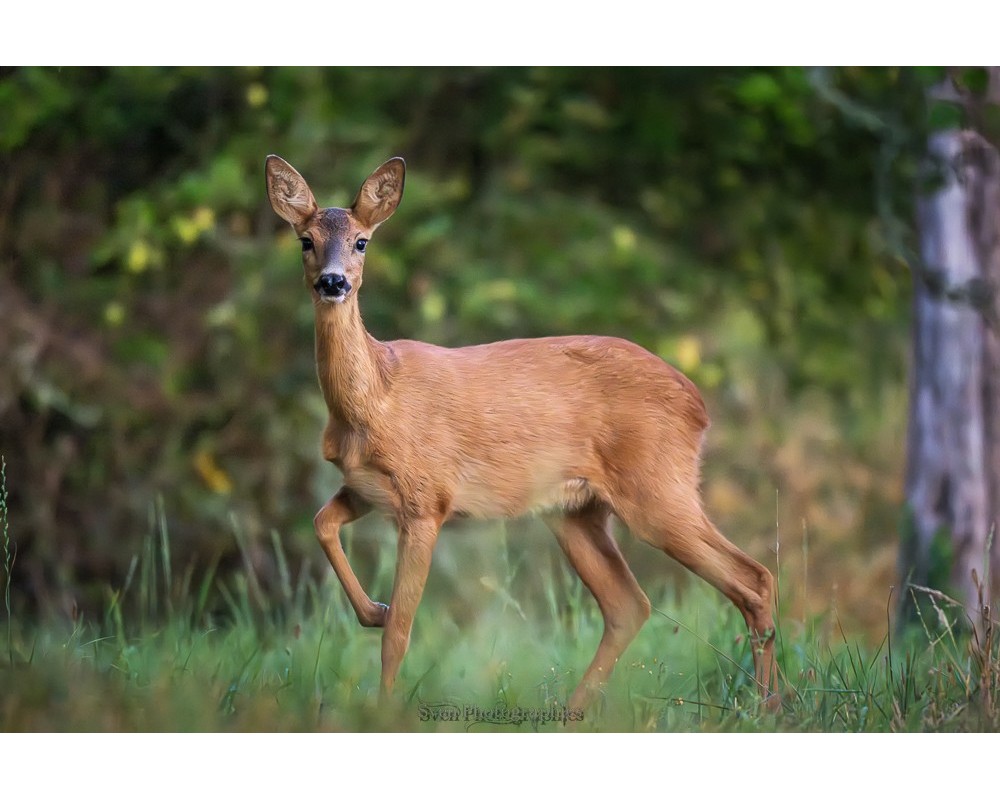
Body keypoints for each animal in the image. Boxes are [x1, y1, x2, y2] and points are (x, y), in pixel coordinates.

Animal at [264, 154, 781, 712]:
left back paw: (767, 707)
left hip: (656, 488)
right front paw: (372, 611)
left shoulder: (427, 499)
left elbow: (400, 632)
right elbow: (322, 524)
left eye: (361, 241)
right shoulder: (365, 488)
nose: (333, 282)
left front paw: (382, 708)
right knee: (630, 604)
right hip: (574, 511)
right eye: (305, 240)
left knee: (753, 578)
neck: (376, 400)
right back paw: (575, 713)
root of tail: (698, 403)